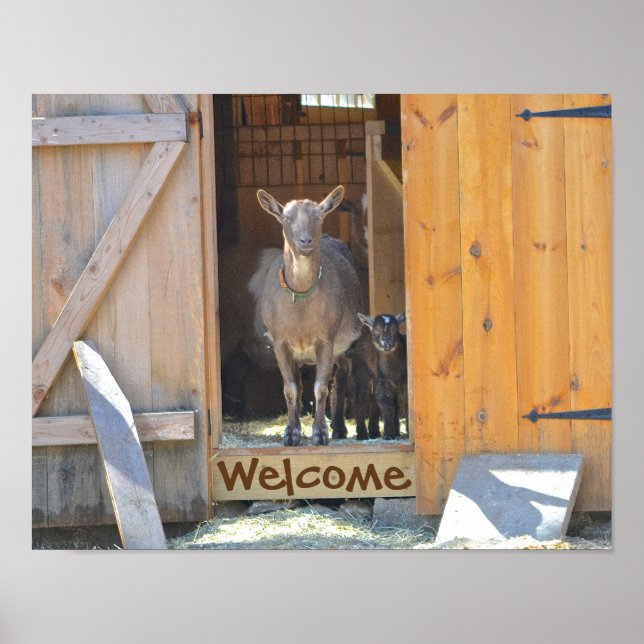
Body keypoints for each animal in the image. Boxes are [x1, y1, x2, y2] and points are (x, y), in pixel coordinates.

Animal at [249, 186, 363, 446]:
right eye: (286, 218)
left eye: (319, 216)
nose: (305, 241)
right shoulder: (280, 341)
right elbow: (290, 388)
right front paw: (291, 433)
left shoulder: (326, 337)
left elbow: (321, 386)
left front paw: (320, 433)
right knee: (301, 384)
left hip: (346, 345)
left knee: (341, 380)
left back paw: (339, 427)